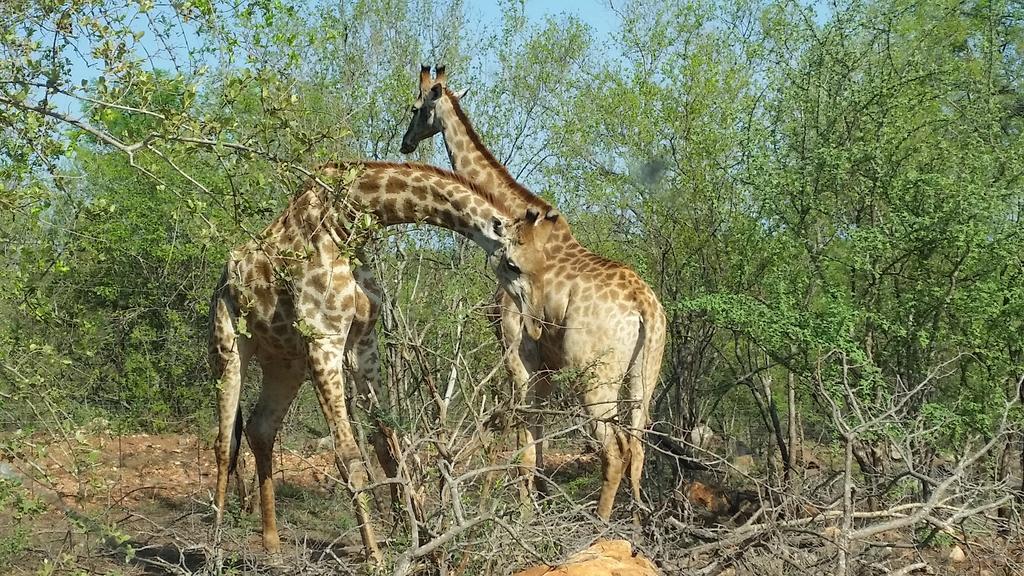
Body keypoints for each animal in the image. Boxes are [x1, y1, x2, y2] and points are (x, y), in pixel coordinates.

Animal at [207, 159, 557, 557]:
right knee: (224, 443)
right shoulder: (324, 341)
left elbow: (388, 445)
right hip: (227, 345)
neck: (345, 223)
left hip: (284, 362)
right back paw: (215, 547)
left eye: (544, 264)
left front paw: (419, 537)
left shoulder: (362, 342)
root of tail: (224, 280)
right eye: (513, 265)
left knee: (260, 429)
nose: (537, 323)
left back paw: (272, 544)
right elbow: (348, 455)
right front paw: (376, 557)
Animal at [399, 65, 663, 518]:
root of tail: (644, 307)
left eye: (417, 107)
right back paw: (637, 522)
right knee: (638, 445)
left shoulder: (517, 348)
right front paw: (535, 506)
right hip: (645, 373)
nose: (405, 142)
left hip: (595, 377)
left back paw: (600, 524)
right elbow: (536, 441)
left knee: (614, 449)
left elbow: (525, 438)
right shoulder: (547, 365)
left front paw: (524, 515)